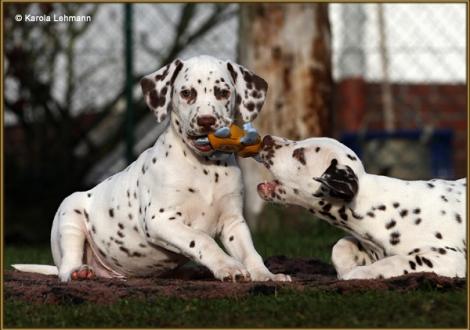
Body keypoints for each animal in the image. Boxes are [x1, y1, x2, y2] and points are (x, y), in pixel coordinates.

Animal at [11, 55, 290, 282]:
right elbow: (203, 239)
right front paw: (228, 266)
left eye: (222, 92)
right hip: (70, 215)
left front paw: (265, 275)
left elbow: (250, 252)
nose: (206, 121)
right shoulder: (161, 219)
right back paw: (78, 272)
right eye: (186, 93)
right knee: (67, 265)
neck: (205, 168)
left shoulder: (233, 223)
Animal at [258, 135, 466, 280]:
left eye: (300, 155)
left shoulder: (447, 257)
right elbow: (340, 247)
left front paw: (357, 273)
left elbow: (393, 262)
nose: (266, 139)